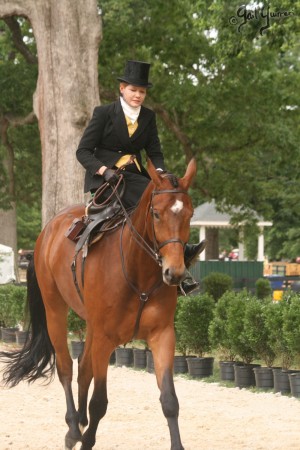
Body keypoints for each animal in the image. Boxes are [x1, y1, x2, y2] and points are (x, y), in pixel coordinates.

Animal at [0, 156, 198, 448]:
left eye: (190, 214)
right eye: (156, 213)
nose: (174, 273)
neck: (137, 271)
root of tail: (48, 230)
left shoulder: (162, 335)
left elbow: (169, 401)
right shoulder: (105, 339)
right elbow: (99, 402)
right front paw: (86, 439)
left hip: (91, 324)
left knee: (83, 368)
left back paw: (79, 422)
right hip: (55, 311)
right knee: (66, 367)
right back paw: (73, 428)